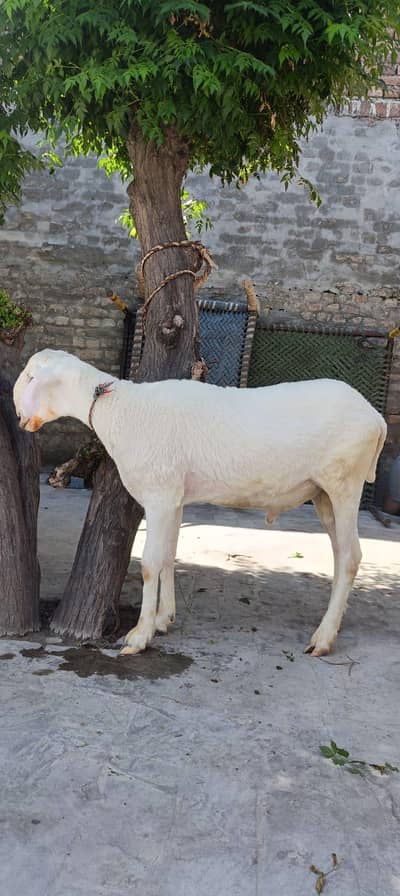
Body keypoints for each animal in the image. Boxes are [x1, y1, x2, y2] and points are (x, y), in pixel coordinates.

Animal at [14, 349, 387, 657]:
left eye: (31, 377)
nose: (18, 413)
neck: (120, 411)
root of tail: (377, 418)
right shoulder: (174, 497)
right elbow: (168, 556)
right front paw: (164, 619)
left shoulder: (159, 495)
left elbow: (149, 564)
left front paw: (139, 636)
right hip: (323, 494)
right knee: (340, 555)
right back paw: (332, 624)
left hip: (344, 484)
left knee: (350, 557)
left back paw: (323, 638)